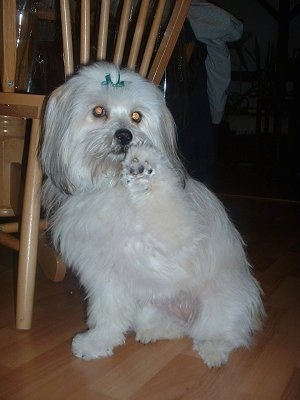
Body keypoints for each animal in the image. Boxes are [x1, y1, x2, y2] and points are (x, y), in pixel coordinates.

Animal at [40, 61, 264, 366]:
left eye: (136, 116)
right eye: (99, 111)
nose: (125, 135)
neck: (115, 187)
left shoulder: (176, 238)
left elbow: (163, 203)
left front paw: (146, 168)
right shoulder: (105, 275)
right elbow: (107, 313)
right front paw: (98, 341)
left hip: (220, 298)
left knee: (225, 331)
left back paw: (213, 349)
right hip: (152, 304)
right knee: (173, 326)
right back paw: (154, 331)